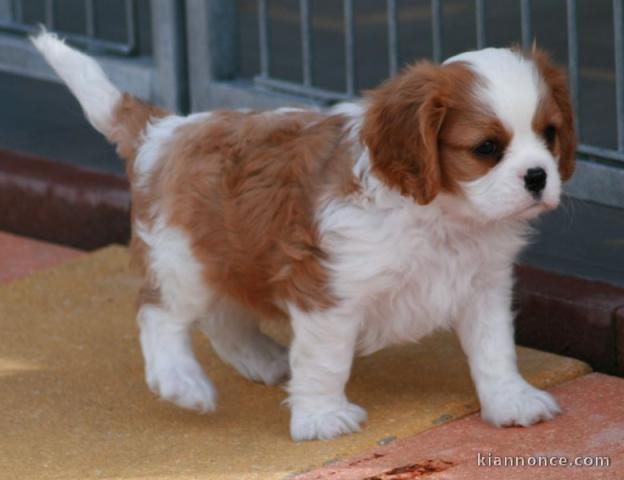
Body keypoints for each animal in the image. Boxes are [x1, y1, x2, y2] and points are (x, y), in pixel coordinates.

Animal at [35, 31, 576, 440]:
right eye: (486, 148)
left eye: (549, 134)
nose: (538, 177)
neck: (443, 216)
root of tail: (163, 131)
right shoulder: (328, 289)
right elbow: (326, 360)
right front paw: (321, 417)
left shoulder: (483, 285)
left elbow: (495, 350)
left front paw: (510, 400)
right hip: (184, 256)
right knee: (157, 312)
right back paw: (181, 382)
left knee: (222, 317)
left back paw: (259, 359)